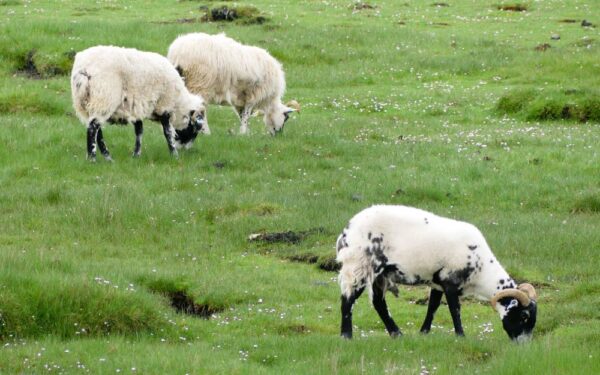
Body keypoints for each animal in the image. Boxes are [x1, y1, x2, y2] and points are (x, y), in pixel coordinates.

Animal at [69, 45, 206, 160]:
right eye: (194, 129)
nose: (186, 149)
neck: (178, 103)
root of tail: (84, 70)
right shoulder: (164, 105)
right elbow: (167, 132)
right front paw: (174, 154)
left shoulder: (137, 106)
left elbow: (139, 131)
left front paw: (136, 154)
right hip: (104, 98)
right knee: (93, 128)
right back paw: (93, 158)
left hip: (86, 103)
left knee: (96, 129)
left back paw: (108, 158)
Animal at [165, 33, 298, 137]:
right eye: (286, 117)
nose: (278, 135)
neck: (270, 101)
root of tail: (177, 52)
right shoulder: (253, 95)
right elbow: (246, 115)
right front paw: (243, 133)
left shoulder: (241, 99)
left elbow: (242, 115)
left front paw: (245, 133)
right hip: (200, 84)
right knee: (200, 110)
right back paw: (206, 132)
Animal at [338, 206, 540, 344]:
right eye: (524, 316)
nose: (523, 346)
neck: (481, 270)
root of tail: (346, 232)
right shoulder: (450, 282)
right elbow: (455, 310)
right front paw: (461, 336)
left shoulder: (437, 282)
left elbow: (432, 307)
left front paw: (424, 332)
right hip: (359, 266)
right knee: (348, 299)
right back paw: (346, 336)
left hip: (379, 275)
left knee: (378, 303)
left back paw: (397, 334)